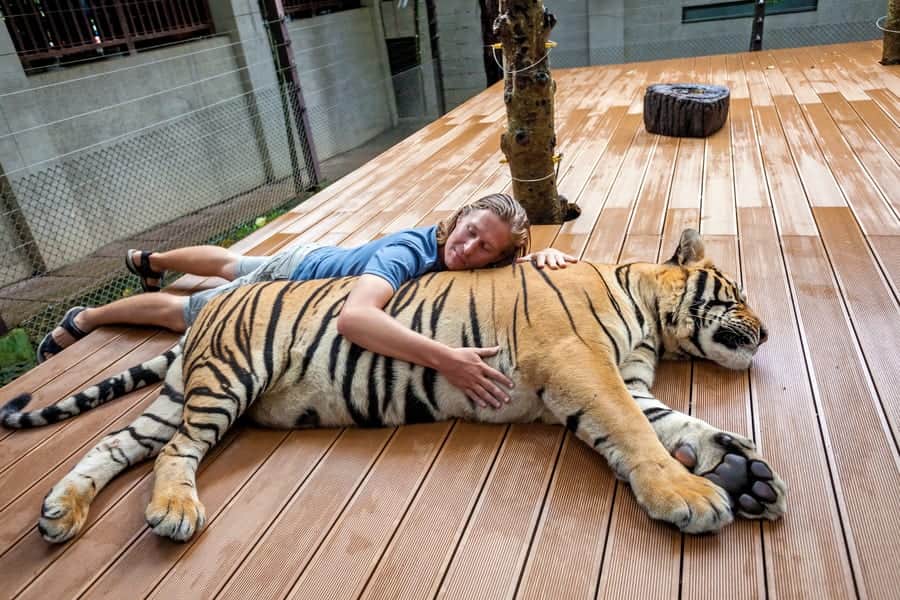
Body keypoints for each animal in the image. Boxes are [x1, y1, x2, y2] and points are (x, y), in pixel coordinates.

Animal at [1, 228, 786, 544]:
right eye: (739, 292)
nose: (770, 332)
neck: (649, 315)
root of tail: (205, 318)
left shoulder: (618, 375)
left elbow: (673, 423)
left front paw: (742, 471)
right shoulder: (582, 365)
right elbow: (635, 431)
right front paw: (693, 496)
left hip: (179, 399)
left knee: (115, 442)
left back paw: (61, 514)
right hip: (226, 380)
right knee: (171, 455)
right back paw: (173, 512)